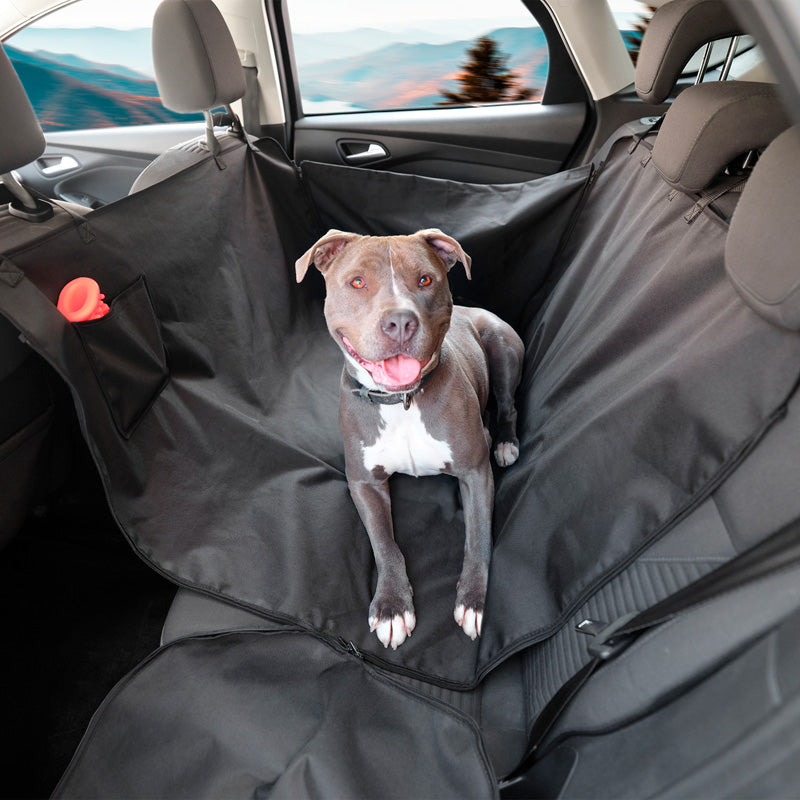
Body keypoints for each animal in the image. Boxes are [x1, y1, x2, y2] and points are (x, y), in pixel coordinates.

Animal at [294, 227, 524, 648]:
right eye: (357, 282)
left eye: (425, 280)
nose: (400, 321)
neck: (401, 401)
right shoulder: (364, 483)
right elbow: (385, 544)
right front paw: (392, 606)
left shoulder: (474, 472)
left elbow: (477, 537)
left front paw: (475, 600)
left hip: (501, 347)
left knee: (507, 404)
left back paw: (504, 442)